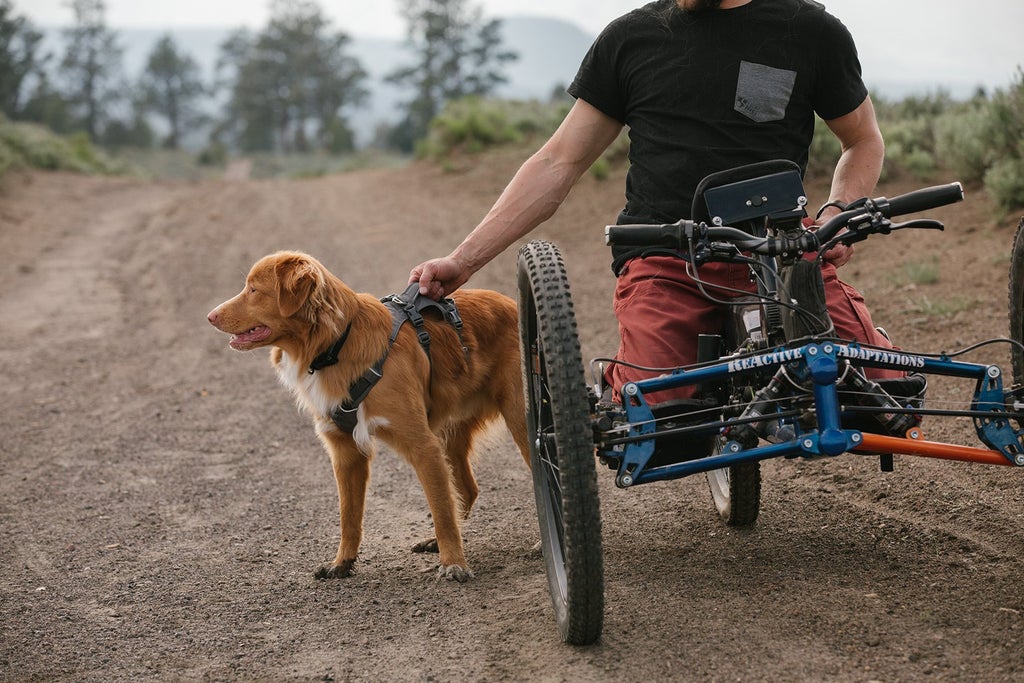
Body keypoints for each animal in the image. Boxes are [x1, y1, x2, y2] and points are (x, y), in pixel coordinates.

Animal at [207, 250, 528, 581]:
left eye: (254, 289)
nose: (210, 316)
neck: (336, 345)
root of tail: (512, 304)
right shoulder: (345, 451)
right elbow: (349, 517)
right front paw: (342, 563)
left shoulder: (423, 445)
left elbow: (441, 510)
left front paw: (454, 563)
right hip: (448, 435)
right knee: (467, 488)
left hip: (520, 420)